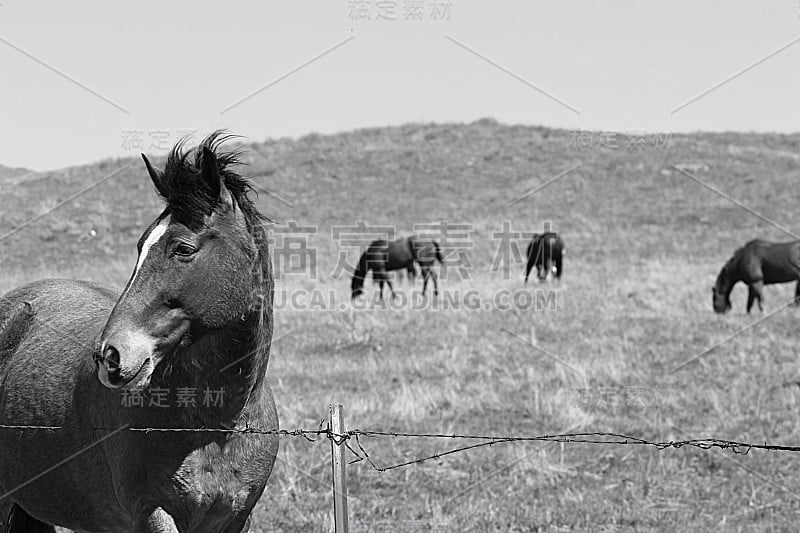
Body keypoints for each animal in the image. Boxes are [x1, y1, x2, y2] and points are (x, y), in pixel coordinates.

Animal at [0, 131, 278, 528]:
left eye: (182, 248)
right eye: (140, 246)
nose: (110, 356)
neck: (216, 426)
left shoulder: (237, 518)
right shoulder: (153, 513)